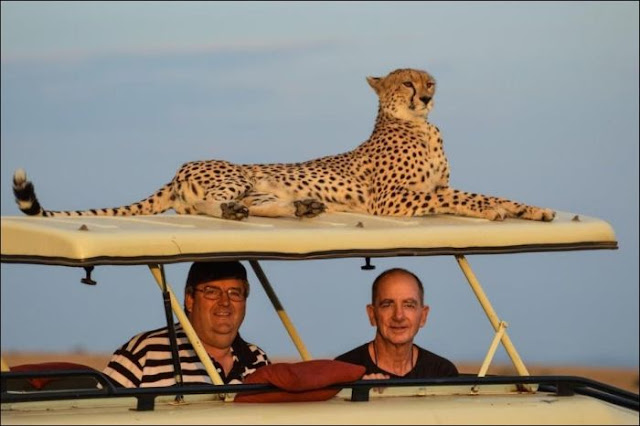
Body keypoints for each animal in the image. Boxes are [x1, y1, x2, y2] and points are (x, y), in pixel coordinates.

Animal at [11, 68, 556, 221]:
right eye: (407, 82)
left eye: (430, 82)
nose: (425, 94)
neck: (420, 125)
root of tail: (180, 166)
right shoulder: (393, 201)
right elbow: (459, 199)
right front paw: (500, 210)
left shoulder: (428, 188)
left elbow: (474, 192)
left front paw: (531, 209)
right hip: (234, 173)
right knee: (207, 206)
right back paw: (239, 212)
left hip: (261, 186)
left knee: (252, 204)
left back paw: (304, 208)